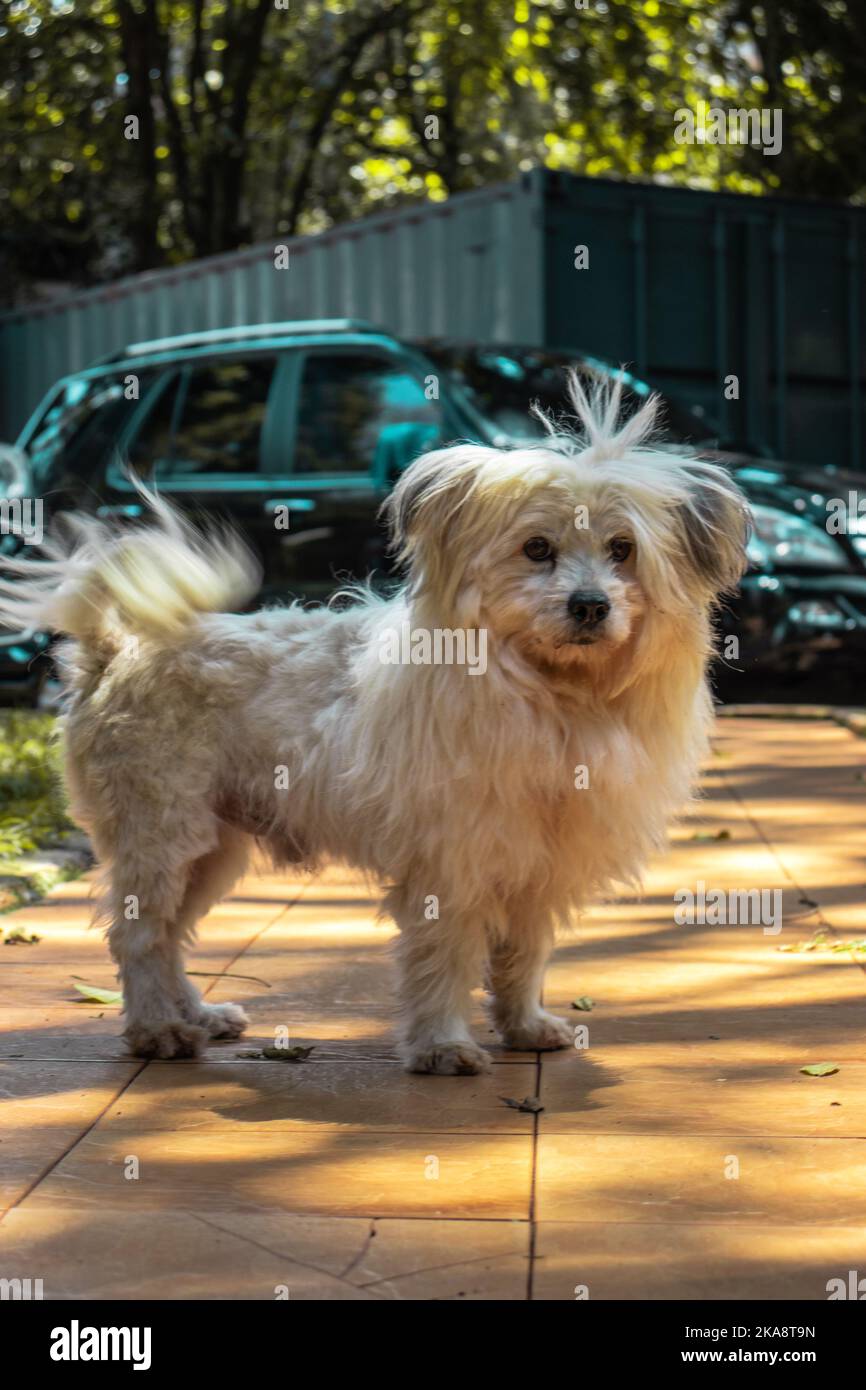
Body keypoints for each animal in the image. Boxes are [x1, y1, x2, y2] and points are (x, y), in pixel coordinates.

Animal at [0, 378, 750, 1073]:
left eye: (623, 550)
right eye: (537, 548)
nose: (590, 604)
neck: (549, 692)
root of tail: (113, 648)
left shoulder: (541, 860)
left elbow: (524, 952)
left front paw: (525, 1025)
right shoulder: (453, 861)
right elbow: (445, 956)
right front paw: (443, 1046)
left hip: (212, 849)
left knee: (168, 937)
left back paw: (198, 1015)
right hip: (162, 836)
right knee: (141, 937)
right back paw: (160, 1032)